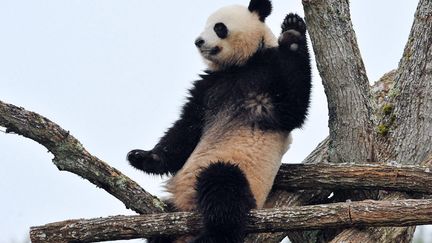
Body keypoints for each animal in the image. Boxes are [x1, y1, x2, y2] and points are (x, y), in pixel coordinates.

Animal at [127, 0, 310, 241]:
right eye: (205, 25)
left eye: (219, 27)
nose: (198, 41)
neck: (239, 66)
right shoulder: (207, 88)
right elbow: (186, 128)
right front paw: (142, 156)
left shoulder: (267, 80)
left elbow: (293, 107)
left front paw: (292, 32)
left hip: (244, 182)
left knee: (222, 190)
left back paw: (211, 235)